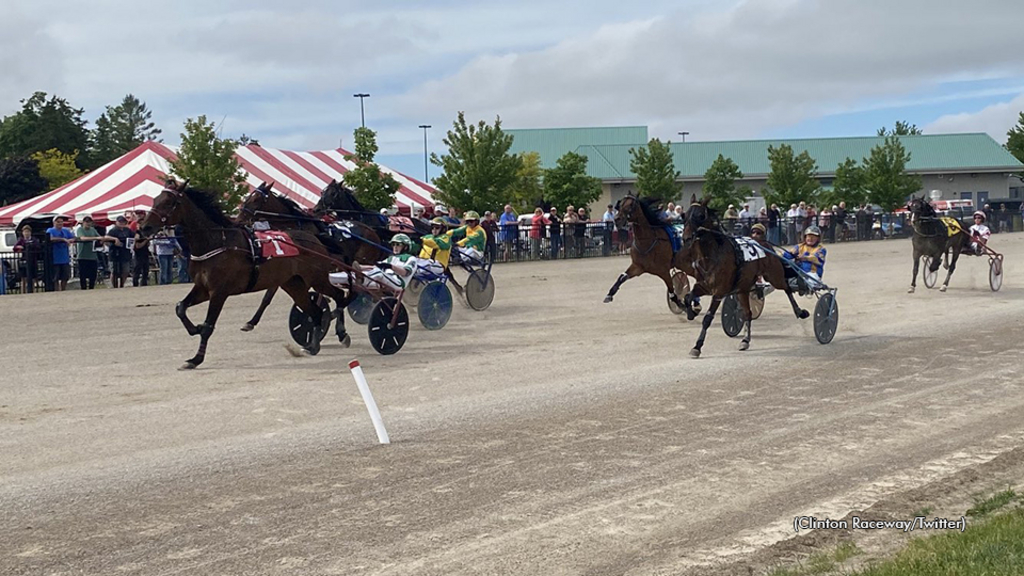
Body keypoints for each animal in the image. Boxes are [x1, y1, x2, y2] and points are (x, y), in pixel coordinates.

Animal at [140, 181, 350, 366]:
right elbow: (180, 308)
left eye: (169, 202)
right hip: (294, 284)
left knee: (339, 296)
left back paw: (341, 333)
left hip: (317, 278)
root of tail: (314, 238)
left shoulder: (219, 292)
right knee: (315, 312)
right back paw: (313, 345)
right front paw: (194, 329)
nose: (144, 227)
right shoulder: (202, 288)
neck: (217, 241)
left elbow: (208, 326)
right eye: (155, 200)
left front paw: (196, 359)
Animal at [235, 181, 387, 330]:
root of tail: (372, 232)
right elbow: (268, 297)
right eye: (248, 197)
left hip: (365, 262)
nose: (238, 219)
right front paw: (251, 322)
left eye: (256, 199)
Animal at [679, 195, 806, 354]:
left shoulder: (718, 292)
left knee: (787, 288)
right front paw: (691, 313)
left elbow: (707, 319)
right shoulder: (703, 286)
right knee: (747, 313)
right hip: (743, 288)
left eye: (701, 216)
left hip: (774, 276)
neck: (712, 255)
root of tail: (765, 243)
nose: (687, 238)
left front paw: (697, 346)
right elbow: (688, 297)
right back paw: (745, 340)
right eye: (684, 215)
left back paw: (800, 311)